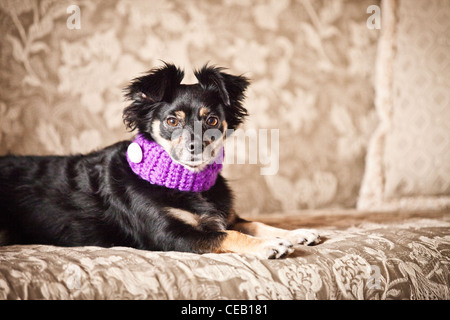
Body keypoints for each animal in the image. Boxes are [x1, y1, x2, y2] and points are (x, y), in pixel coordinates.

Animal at [0, 63, 320, 258]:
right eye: (171, 121)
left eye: (212, 120)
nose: (195, 146)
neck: (188, 184)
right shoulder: (169, 236)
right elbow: (228, 235)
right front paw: (270, 245)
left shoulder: (227, 216)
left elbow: (252, 223)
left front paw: (297, 233)